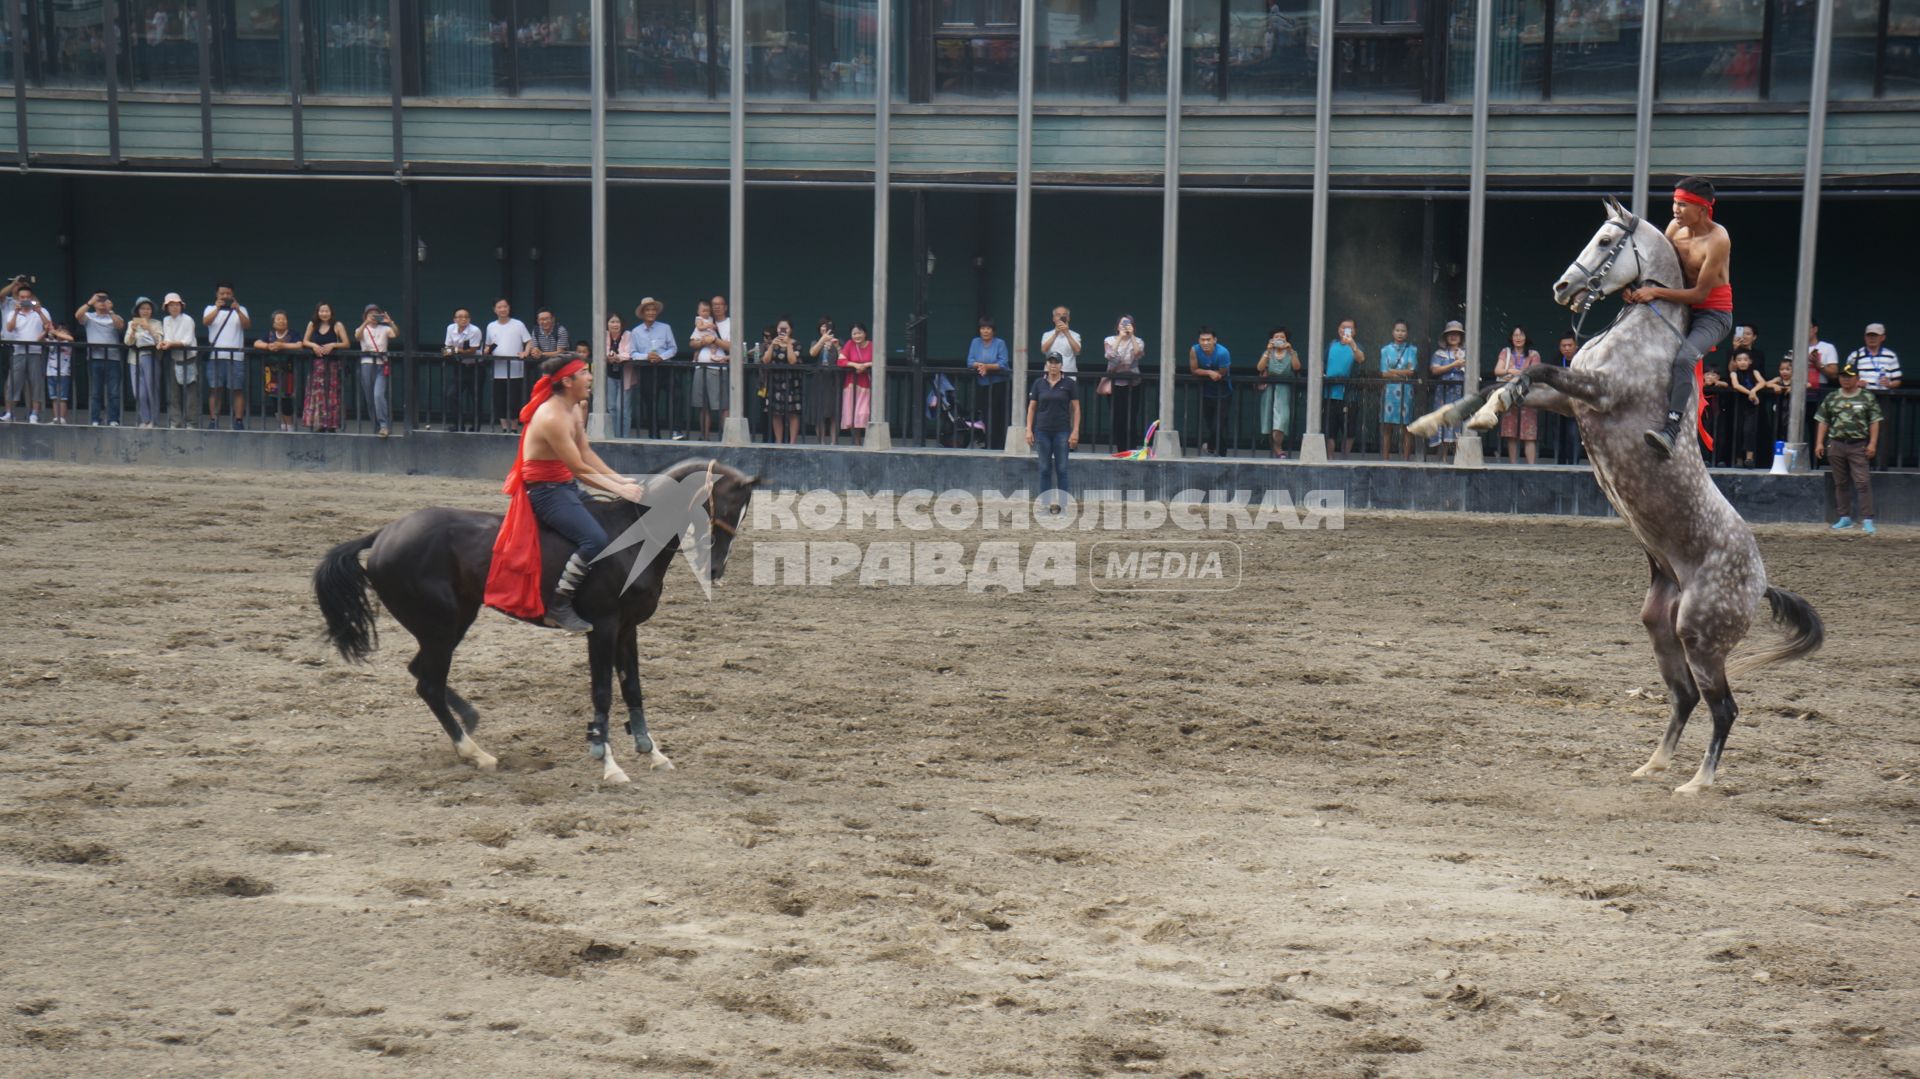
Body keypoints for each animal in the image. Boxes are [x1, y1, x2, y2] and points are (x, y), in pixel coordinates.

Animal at [314, 455, 756, 779]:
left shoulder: (628, 628)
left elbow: (632, 688)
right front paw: (607, 761)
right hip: (442, 627)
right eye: (724, 505)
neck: (630, 538)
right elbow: (603, 692)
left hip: (449, 624)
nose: (717, 567)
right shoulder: (602, 627)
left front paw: (651, 752)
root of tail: (384, 534)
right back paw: (475, 753)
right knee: (429, 684)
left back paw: (469, 723)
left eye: (742, 513)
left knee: (421, 673)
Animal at [1405, 197, 1820, 794]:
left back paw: (1696, 784)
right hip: (1662, 626)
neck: (1640, 330)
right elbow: (1507, 384)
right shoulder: (1570, 399)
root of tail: (1760, 583)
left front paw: (1484, 411)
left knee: (1724, 708)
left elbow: (1535, 366)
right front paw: (1447, 418)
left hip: (1701, 635)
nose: (1562, 287)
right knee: (1685, 697)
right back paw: (1653, 764)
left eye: (1606, 241)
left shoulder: (1598, 391)